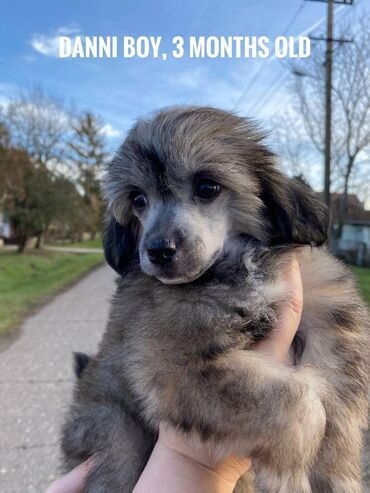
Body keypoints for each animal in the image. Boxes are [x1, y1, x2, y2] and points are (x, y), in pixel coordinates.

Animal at [61, 107, 370, 492]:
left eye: (207, 187)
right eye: (138, 200)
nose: (158, 250)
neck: (236, 265)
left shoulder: (327, 309)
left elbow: (339, 397)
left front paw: (336, 471)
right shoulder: (174, 362)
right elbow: (298, 401)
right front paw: (290, 472)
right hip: (114, 429)